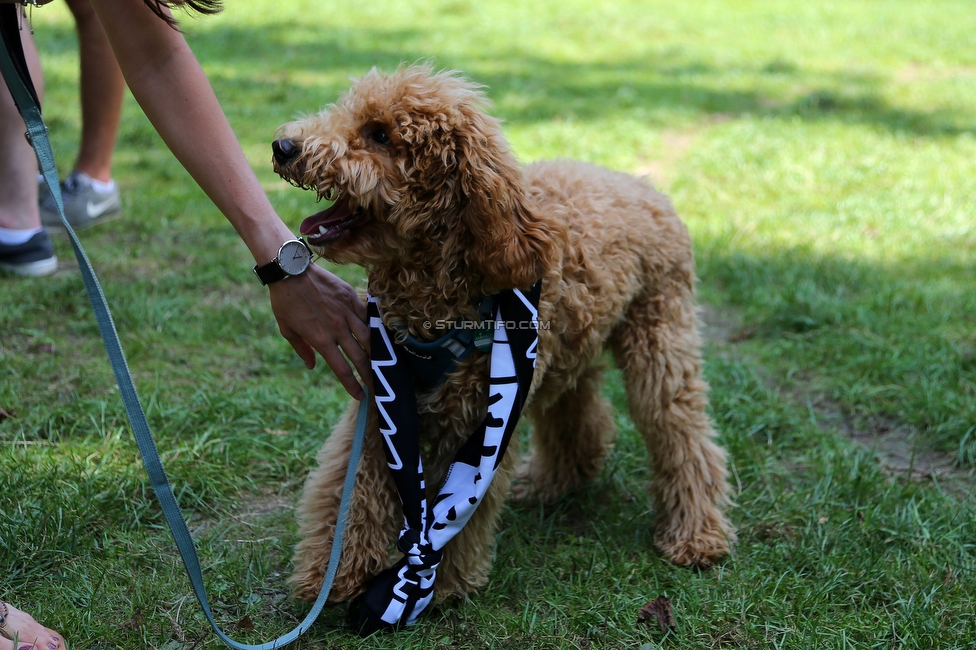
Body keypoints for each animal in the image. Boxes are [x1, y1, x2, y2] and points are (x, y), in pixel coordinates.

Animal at [272, 64, 732, 604]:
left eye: (380, 134)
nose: (283, 146)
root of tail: (642, 186)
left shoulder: (482, 419)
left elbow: (461, 508)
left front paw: (439, 586)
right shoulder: (380, 404)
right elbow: (351, 489)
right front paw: (332, 575)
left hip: (658, 335)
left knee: (680, 431)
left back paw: (696, 536)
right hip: (569, 347)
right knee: (577, 409)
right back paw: (558, 480)